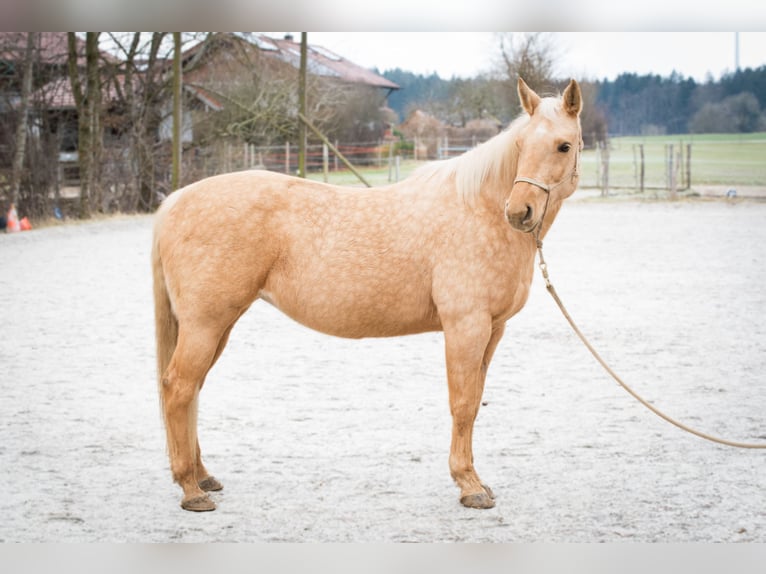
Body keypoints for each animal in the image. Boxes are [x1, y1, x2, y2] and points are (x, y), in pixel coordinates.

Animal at [154, 77, 588, 512]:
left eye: (563, 146)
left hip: (217, 324)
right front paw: (469, 485)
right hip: (206, 323)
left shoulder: (492, 329)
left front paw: (475, 479)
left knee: (192, 389)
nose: (518, 212)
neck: (475, 210)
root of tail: (175, 201)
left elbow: (475, 399)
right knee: (179, 388)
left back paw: (202, 476)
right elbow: (463, 403)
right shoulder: (466, 326)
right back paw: (191, 489)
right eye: (521, 145)